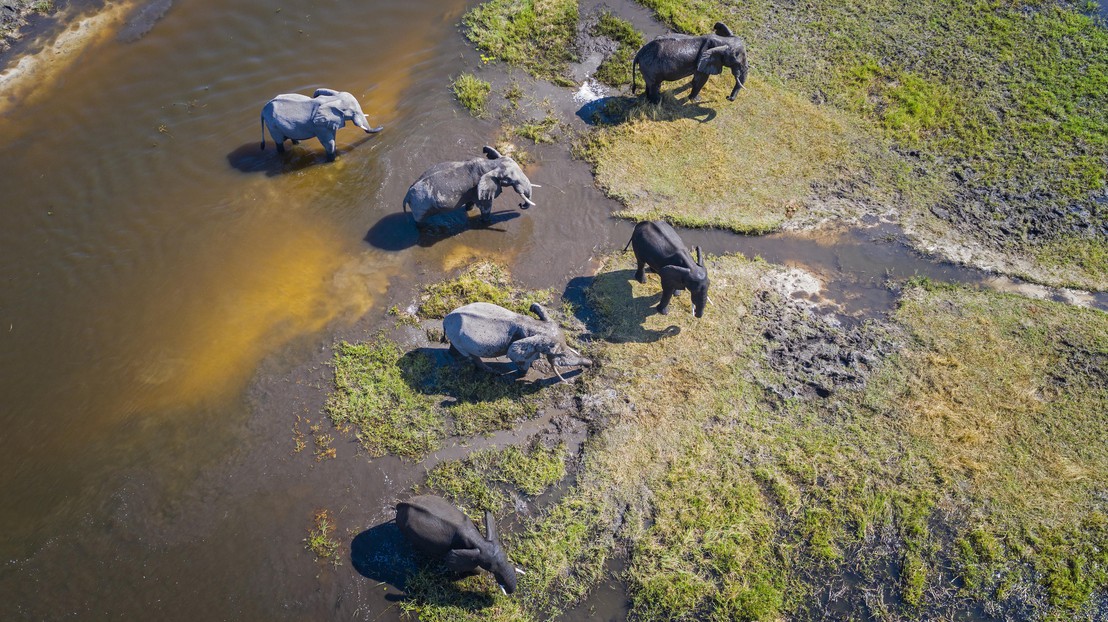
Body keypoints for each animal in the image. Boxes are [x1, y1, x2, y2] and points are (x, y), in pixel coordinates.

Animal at [403, 145, 536, 228]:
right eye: (509, 179)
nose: (520, 205)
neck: (493, 164)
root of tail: (407, 195)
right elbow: (486, 208)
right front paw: (486, 222)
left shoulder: (472, 190)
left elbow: (471, 203)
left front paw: (469, 210)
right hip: (420, 206)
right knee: (420, 221)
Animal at [438, 299, 589, 381]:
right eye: (556, 353)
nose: (590, 365)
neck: (535, 325)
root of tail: (445, 320)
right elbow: (521, 362)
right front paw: (522, 375)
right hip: (459, 339)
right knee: (472, 356)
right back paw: (494, 372)